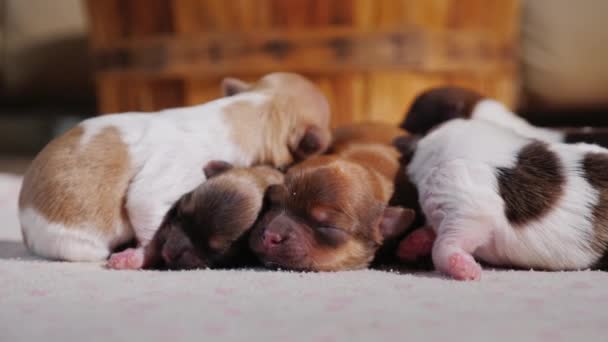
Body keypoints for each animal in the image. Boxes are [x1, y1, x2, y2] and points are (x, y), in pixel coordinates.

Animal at [108, 163, 284, 270]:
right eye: (180, 213)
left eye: (215, 250)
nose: (167, 254)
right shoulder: (167, 225)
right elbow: (155, 242)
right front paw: (130, 257)